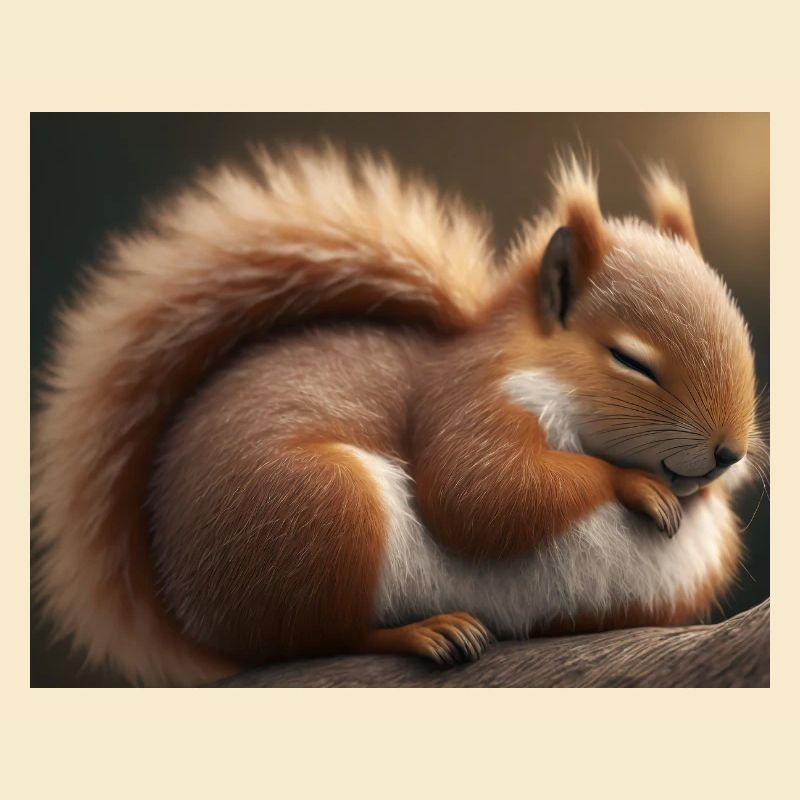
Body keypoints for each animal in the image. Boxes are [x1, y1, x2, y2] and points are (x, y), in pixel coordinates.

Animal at [32, 145, 765, 686]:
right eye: (629, 360)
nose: (728, 452)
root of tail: (187, 602)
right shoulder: (465, 402)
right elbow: (481, 494)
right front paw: (633, 484)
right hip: (322, 511)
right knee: (318, 637)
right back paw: (427, 631)